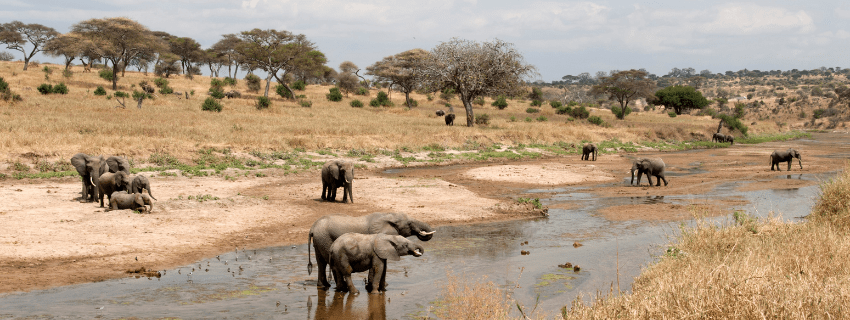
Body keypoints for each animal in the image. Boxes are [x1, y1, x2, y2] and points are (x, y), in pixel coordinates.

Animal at [306, 212, 438, 290]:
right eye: (409, 224)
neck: (388, 216)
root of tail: (312, 227)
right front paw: (373, 286)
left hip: (319, 240)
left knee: (321, 262)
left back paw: (324, 286)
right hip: (325, 239)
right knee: (330, 264)